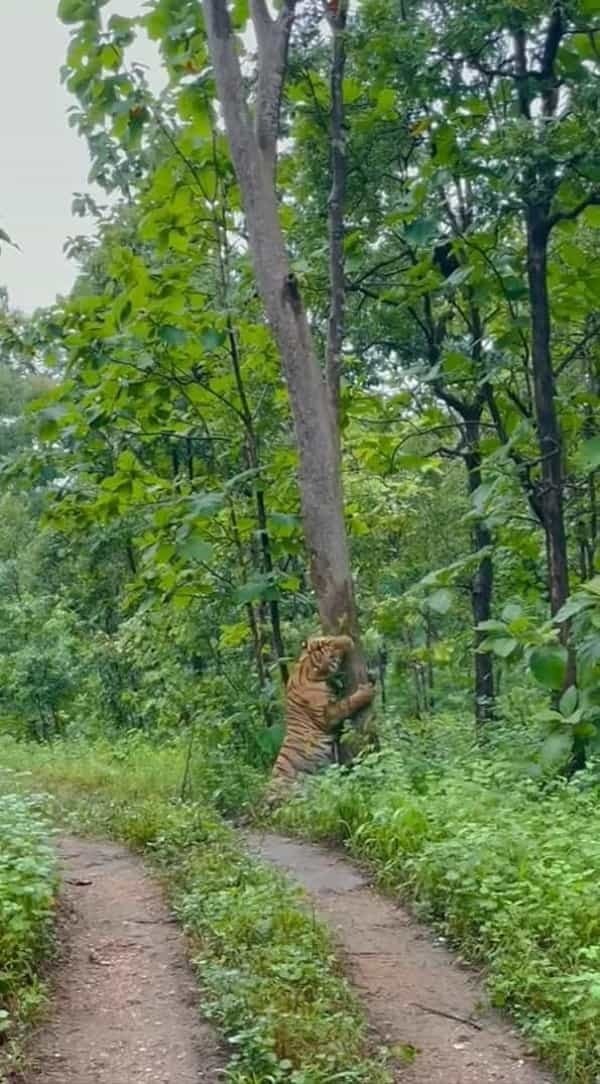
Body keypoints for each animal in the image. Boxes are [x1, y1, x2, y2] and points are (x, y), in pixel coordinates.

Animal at [264, 633, 370, 806]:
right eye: (331, 649)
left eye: (327, 639)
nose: (346, 638)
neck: (307, 667)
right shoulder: (328, 714)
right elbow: (347, 703)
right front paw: (368, 691)